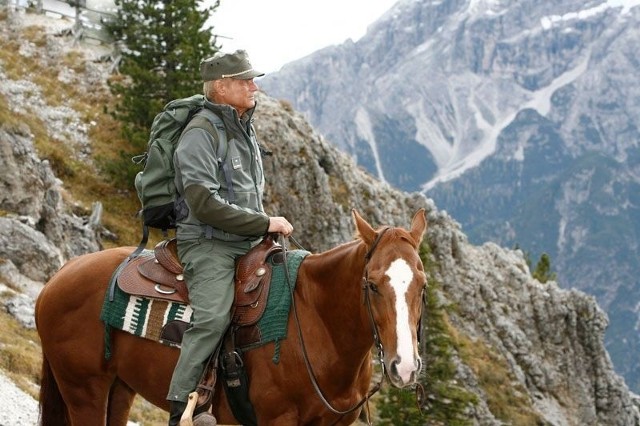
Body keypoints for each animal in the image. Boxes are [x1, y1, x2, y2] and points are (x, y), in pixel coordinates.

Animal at [33, 210, 424, 426]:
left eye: (423, 284)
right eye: (372, 285)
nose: (404, 367)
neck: (318, 324)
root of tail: (61, 274)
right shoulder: (278, 420)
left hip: (119, 388)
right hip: (84, 390)